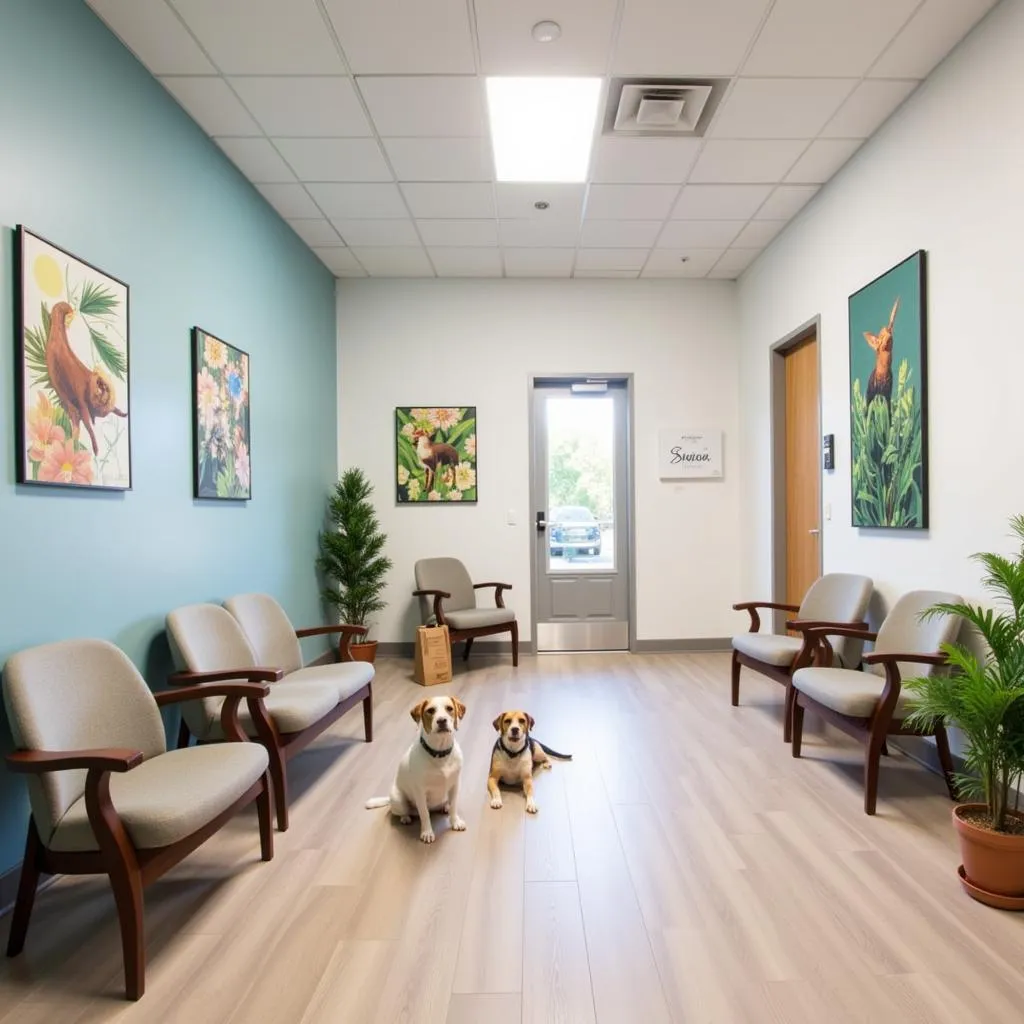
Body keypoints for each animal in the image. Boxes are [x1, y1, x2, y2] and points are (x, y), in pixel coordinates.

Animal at [364, 696, 468, 847]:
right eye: (430, 710)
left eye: (449, 708)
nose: (442, 720)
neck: (439, 753)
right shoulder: (420, 791)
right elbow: (424, 814)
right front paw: (427, 832)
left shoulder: (455, 785)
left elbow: (454, 806)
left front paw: (455, 822)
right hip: (399, 800)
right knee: (405, 811)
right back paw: (405, 817)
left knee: (445, 804)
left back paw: (445, 807)